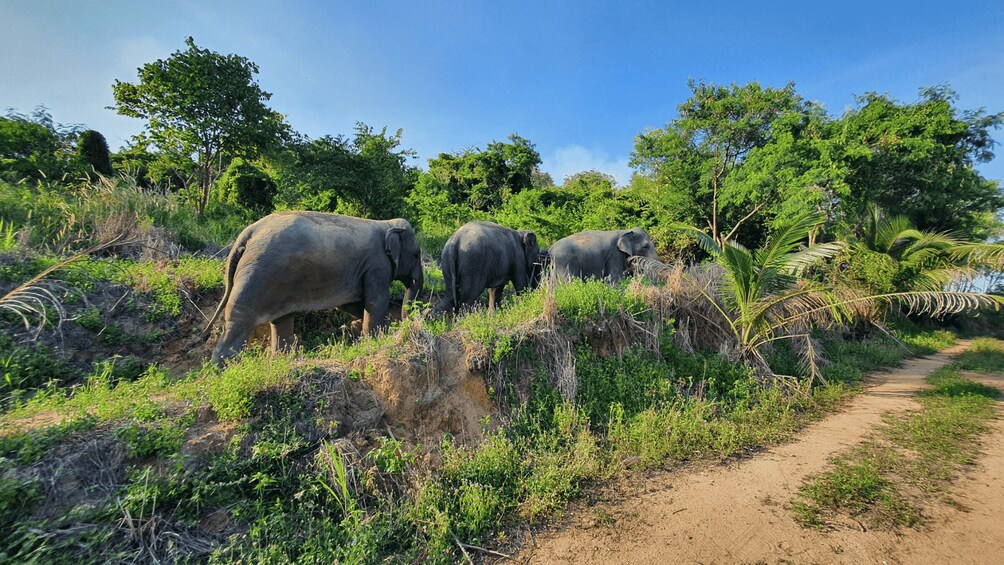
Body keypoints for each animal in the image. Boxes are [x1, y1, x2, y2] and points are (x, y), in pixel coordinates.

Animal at [204, 211, 424, 364]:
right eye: (416, 254)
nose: (405, 324)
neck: (387, 224)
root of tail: (247, 233)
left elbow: (351, 303)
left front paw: (366, 328)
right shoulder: (377, 265)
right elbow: (375, 302)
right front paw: (376, 336)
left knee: (281, 320)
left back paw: (281, 359)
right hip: (258, 275)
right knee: (240, 318)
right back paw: (221, 368)